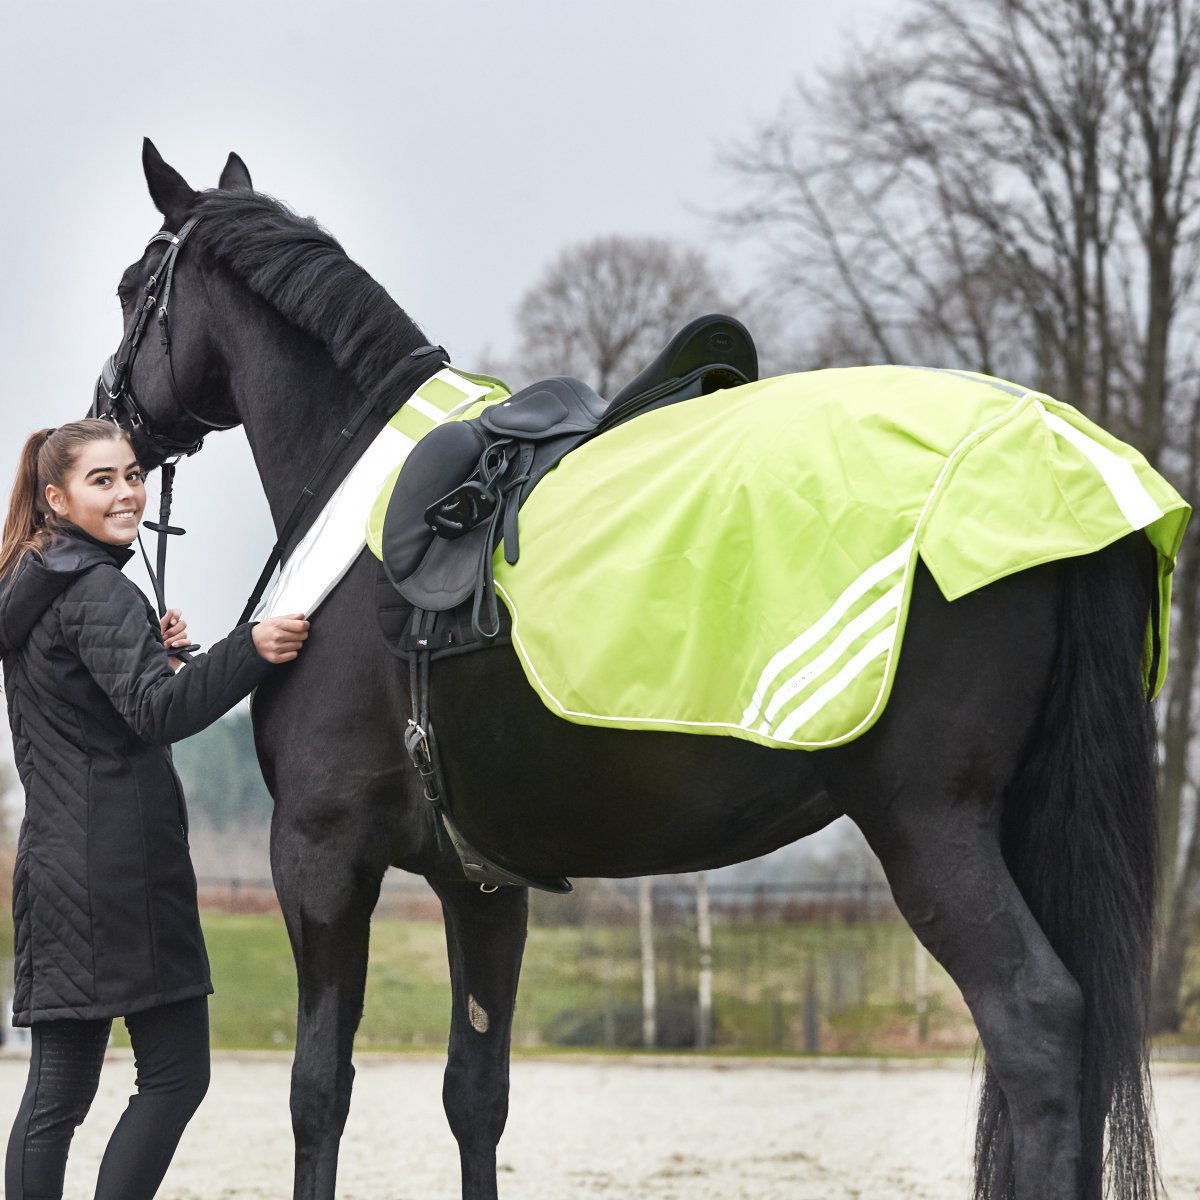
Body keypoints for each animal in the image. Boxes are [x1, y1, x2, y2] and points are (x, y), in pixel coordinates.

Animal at [91, 138, 1167, 1200]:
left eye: (133, 287)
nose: (111, 418)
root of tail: (1059, 454)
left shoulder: (320, 856)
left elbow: (318, 1090)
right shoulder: (482, 883)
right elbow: (474, 1093)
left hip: (930, 824)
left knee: (1035, 1024)